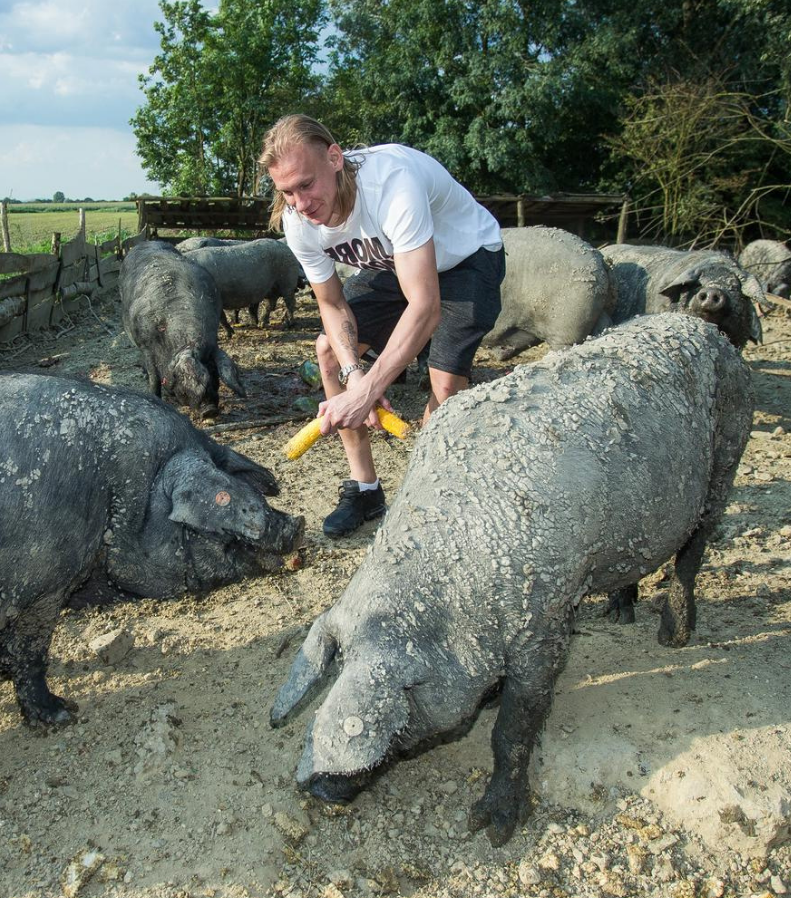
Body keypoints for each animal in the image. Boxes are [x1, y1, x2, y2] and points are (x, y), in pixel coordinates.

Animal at [119, 240, 244, 418]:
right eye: (184, 377)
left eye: (214, 374)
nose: (210, 410)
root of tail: (147, 242)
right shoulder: (146, 345)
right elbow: (154, 378)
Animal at [272, 312, 756, 844]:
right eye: (338, 665)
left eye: (403, 697)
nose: (315, 785)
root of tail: (704, 329)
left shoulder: (545, 620)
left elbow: (517, 724)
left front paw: (491, 826)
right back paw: (619, 612)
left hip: (729, 450)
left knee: (694, 548)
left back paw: (674, 635)